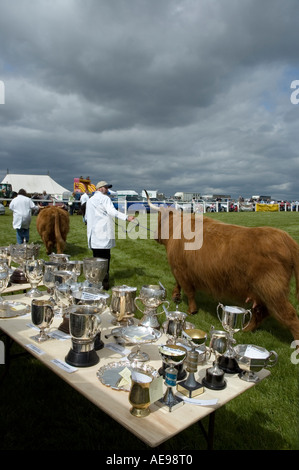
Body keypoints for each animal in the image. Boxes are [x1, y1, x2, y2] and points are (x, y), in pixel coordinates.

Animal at [145, 192, 299, 342]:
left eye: (159, 219)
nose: (154, 236)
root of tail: (285, 238)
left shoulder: (180, 269)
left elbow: (189, 291)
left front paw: (191, 310)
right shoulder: (180, 269)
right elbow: (179, 284)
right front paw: (176, 296)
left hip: (272, 290)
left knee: (289, 316)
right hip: (263, 293)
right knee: (260, 312)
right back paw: (246, 329)